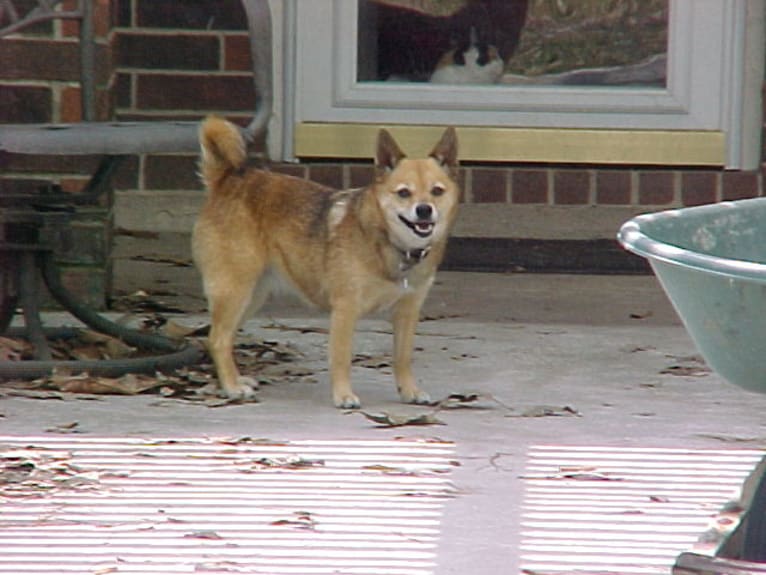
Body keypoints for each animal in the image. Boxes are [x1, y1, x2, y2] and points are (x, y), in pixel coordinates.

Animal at [195, 117, 460, 408]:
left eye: (437, 191)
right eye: (403, 193)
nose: (424, 210)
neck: (389, 243)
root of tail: (227, 179)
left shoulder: (407, 312)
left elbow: (402, 357)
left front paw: (409, 390)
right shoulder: (345, 309)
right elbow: (342, 357)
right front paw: (343, 395)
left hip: (252, 295)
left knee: (224, 336)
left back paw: (234, 380)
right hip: (235, 290)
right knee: (217, 338)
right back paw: (232, 387)